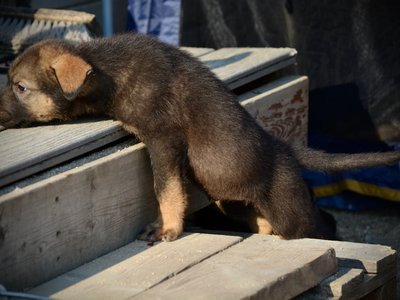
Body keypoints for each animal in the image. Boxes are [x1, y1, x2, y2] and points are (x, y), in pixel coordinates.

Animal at [0, 33, 400, 241]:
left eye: (20, 87)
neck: (107, 69)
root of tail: (283, 146)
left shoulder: (164, 142)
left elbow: (167, 191)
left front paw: (167, 229)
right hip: (229, 200)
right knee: (264, 222)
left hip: (291, 210)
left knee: (319, 224)